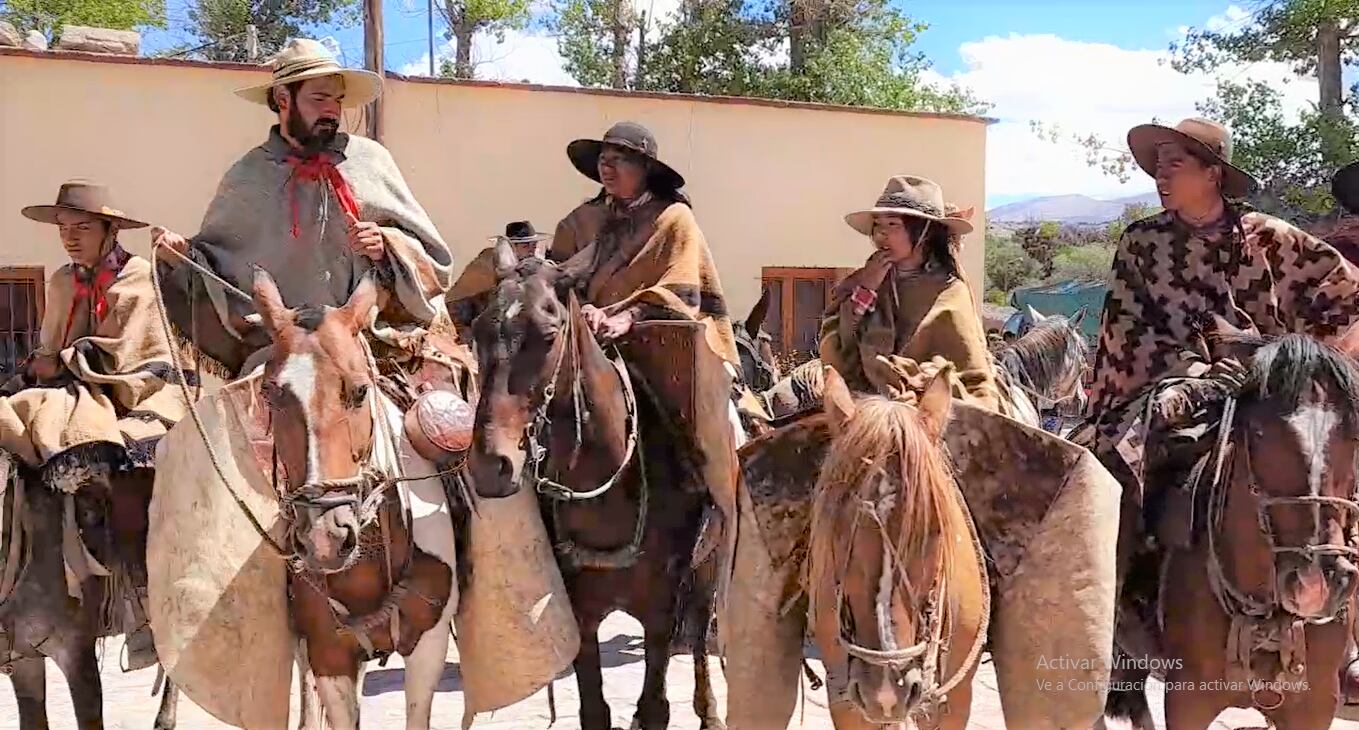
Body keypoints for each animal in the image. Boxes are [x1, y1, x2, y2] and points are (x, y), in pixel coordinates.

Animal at [467, 243, 722, 728]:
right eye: (477, 333)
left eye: (549, 335)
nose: (491, 466)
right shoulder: (581, 616)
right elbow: (594, 710)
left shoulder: (659, 613)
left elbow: (655, 707)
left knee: (700, 629)